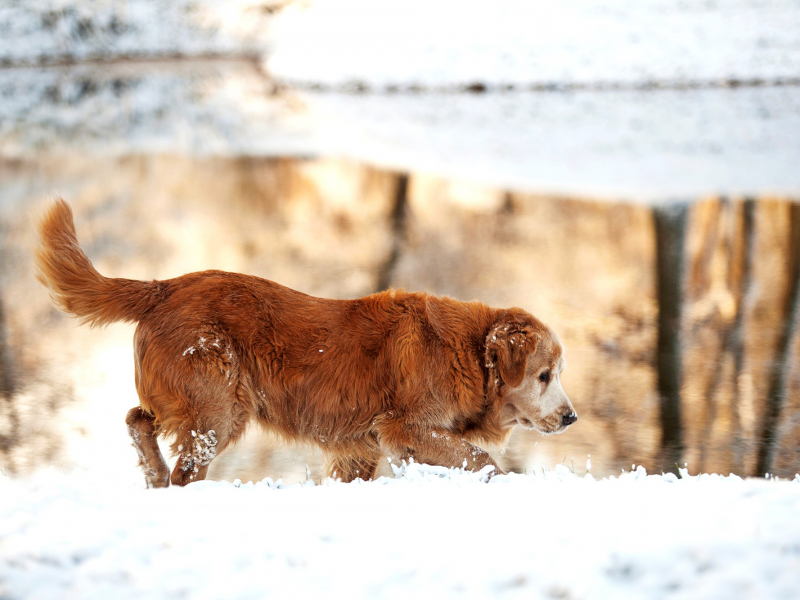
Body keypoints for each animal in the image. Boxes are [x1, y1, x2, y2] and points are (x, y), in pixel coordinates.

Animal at [36, 199, 576, 486]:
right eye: (544, 375)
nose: (572, 417)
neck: (467, 352)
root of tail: (163, 286)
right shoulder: (402, 428)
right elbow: (481, 459)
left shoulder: (359, 448)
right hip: (218, 408)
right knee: (183, 465)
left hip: (196, 402)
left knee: (137, 419)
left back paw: (151, 472)